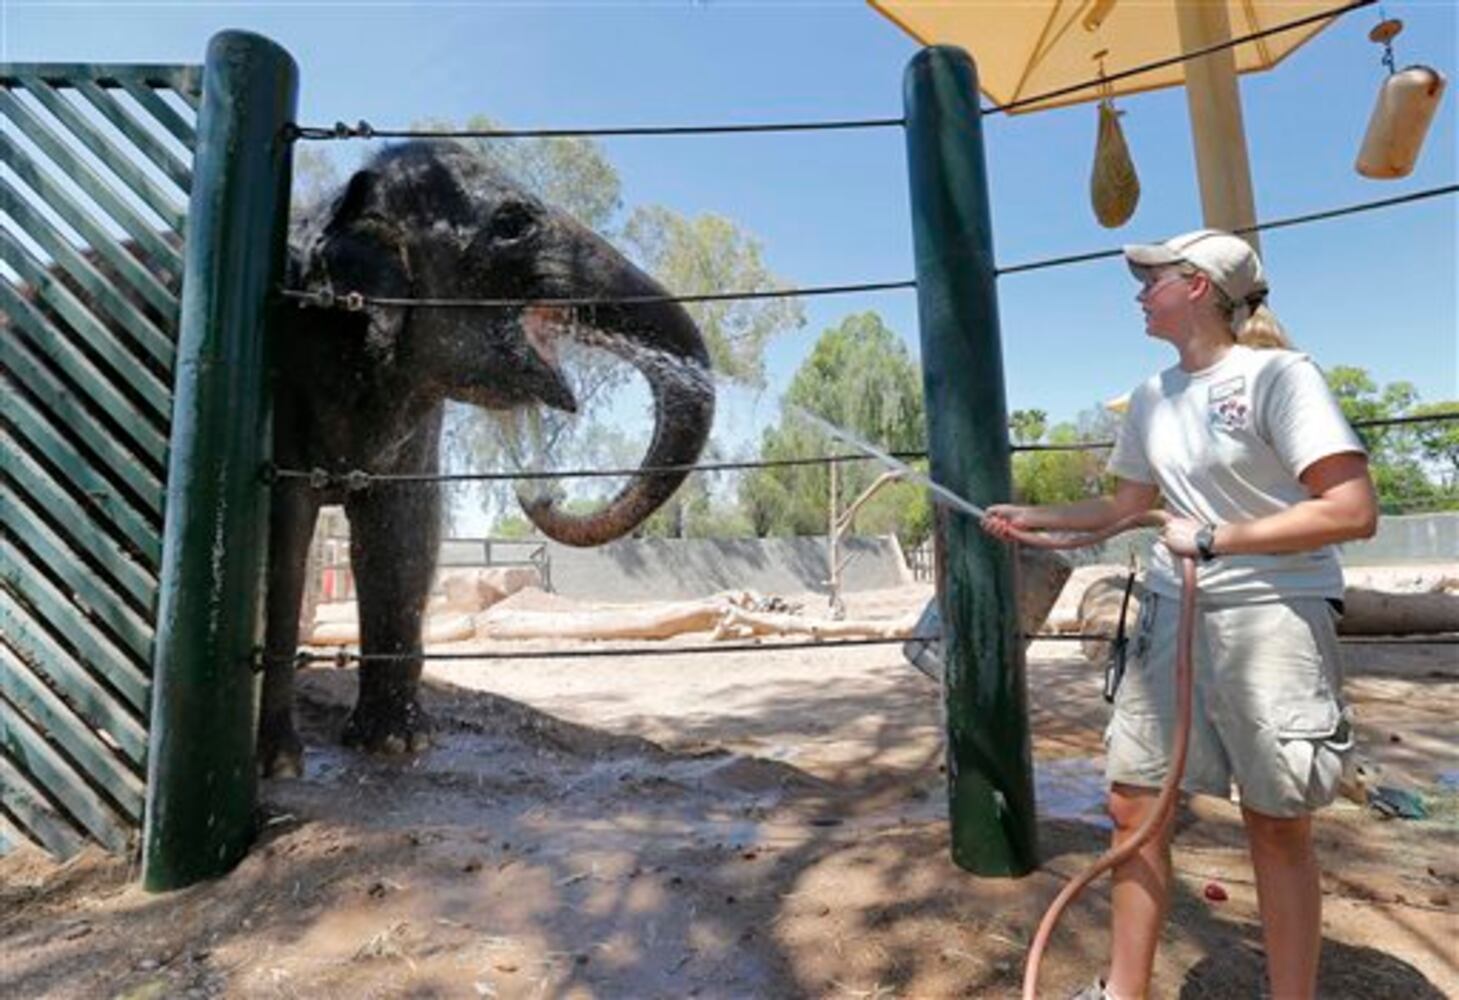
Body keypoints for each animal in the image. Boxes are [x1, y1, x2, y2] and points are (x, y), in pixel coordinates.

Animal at [264, 142, 717, 782]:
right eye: (512, 223)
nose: (541, 492)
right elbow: (277, 531)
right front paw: (277, 766)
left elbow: (402, 529)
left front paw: (397, 745)